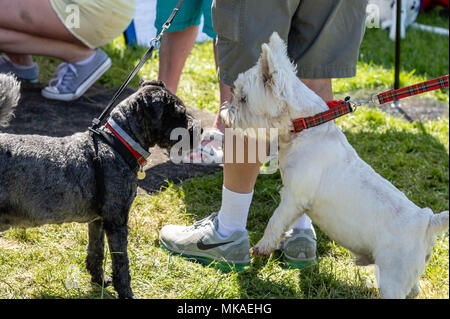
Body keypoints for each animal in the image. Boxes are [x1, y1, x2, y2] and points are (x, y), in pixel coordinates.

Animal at [0, 74, 196, 298]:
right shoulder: (117, 220)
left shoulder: (98, 220)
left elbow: (96, 251)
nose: (197, 130)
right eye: (179, 113)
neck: (115, 146)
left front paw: (99, 281)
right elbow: (121, 262)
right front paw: (126, 292)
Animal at [220, 33, 448, 300]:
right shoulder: (295, 200)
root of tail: (427, 222)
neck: (305, 126)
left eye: (243, 98)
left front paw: (262, 247)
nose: (224, 114)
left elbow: (275, 221)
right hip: (407, 277)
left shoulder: (293, 197)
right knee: (415, 289)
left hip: (393, 278)